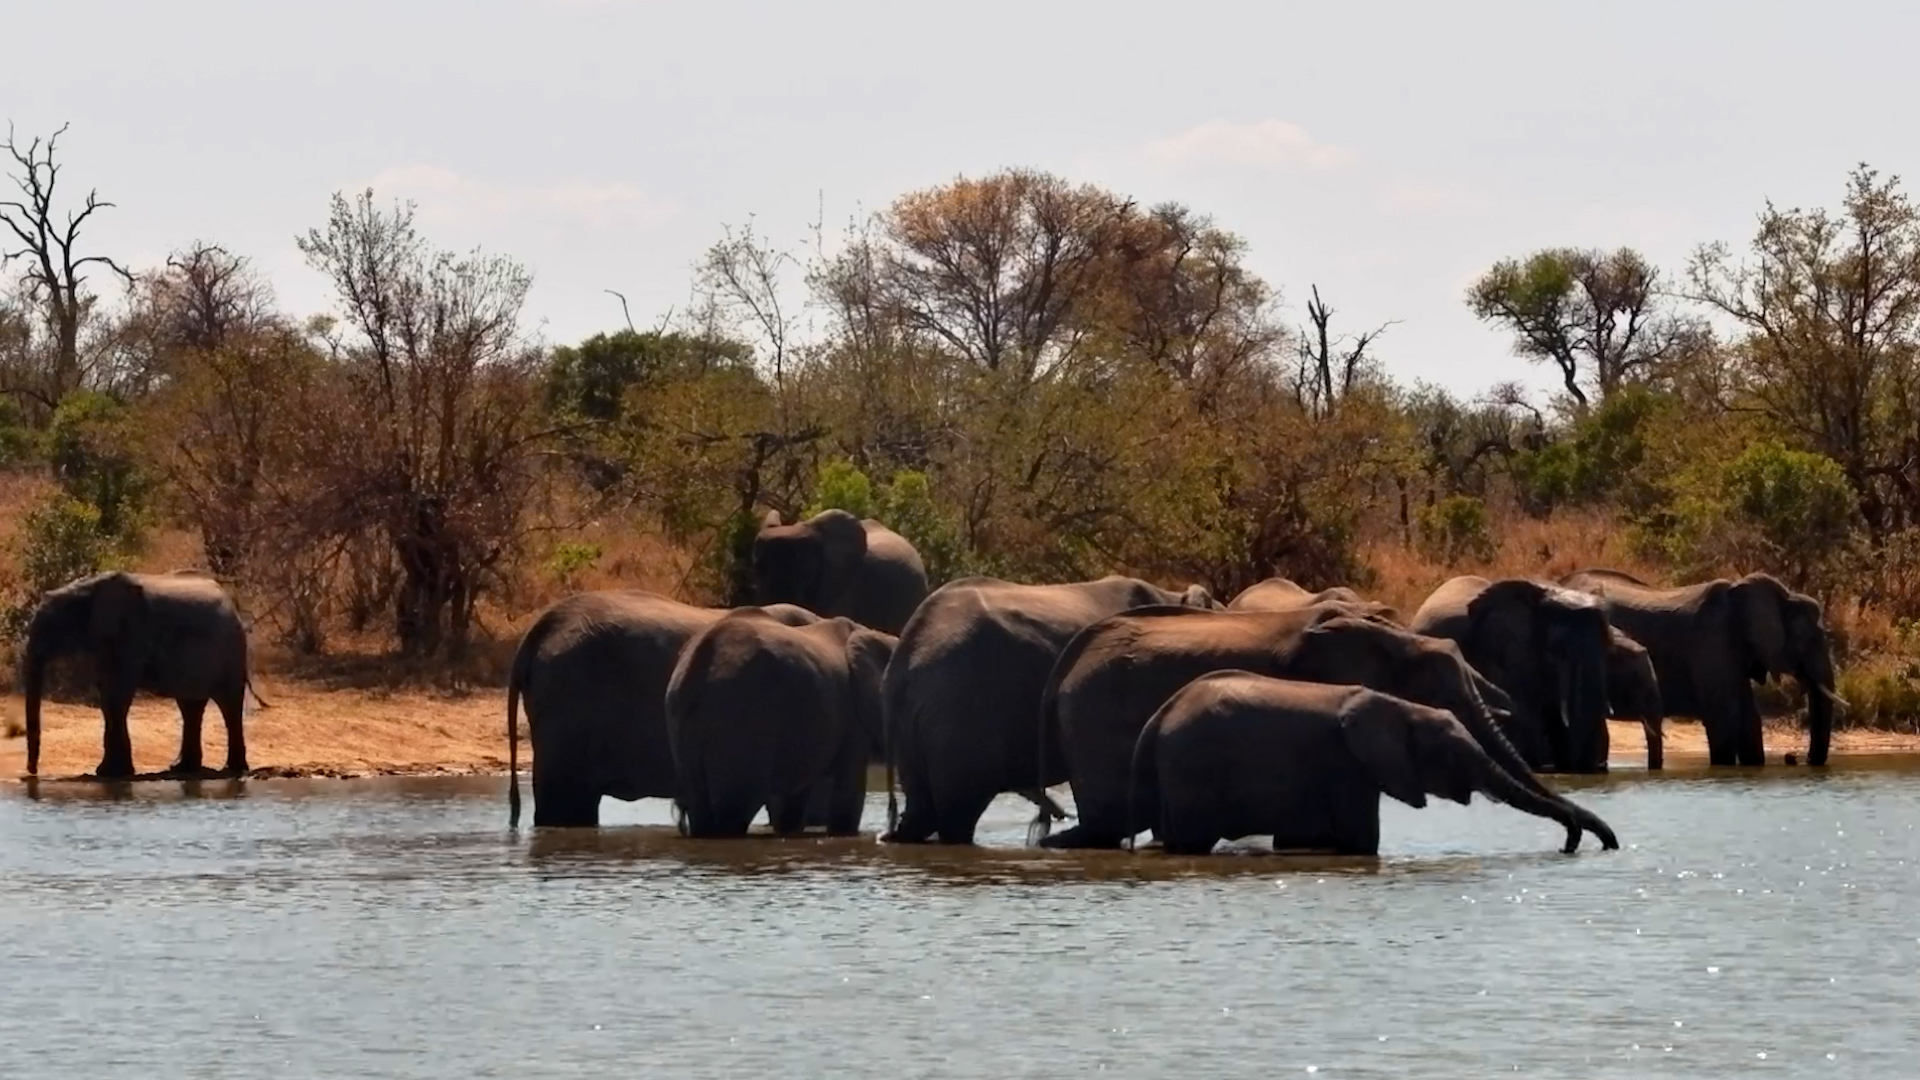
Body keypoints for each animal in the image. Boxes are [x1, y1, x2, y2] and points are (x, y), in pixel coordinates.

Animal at [21, 570, 262, 779]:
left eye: (51, 627)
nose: (32, 772)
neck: (84, 590)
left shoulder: (131, 633)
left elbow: (116, 695)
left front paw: (110, 773)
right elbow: (108, 693)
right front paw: (110, 772)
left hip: (232, 652)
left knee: (229, 705)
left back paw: (233, 770)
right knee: (191, 707)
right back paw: (182, 769)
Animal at [1128, 672, 1601, 856]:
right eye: (1454, 754)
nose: (1568, 846)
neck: (1400, 706)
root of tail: (1155, 721)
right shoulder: (1346, 768)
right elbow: (1361, 842)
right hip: (1192, 771)